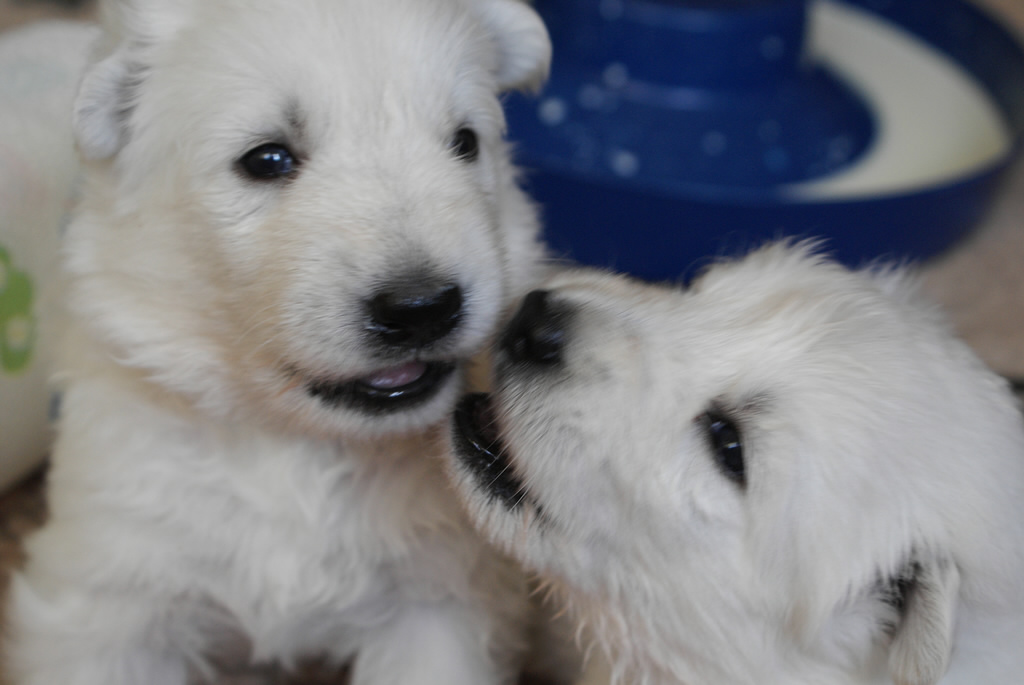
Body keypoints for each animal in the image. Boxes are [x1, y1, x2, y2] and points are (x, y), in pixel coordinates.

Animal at [4, 0, 559, 683]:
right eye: (267, 159)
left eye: (464, 142)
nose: (423, 309)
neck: (297, 446)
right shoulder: (110, 599)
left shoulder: (441, 602)